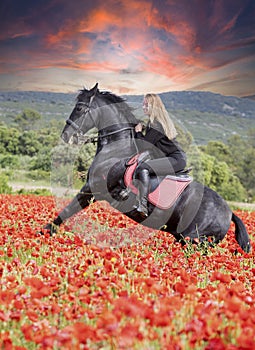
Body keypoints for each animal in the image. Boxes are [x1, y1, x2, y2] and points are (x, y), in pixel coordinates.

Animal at [42, 83, 250, 253]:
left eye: (79, 108)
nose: (66, 135)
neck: (116, 148)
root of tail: (229, 212)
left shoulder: (91, 189)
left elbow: (66, 211)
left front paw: (43, 233)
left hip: (194, 241)